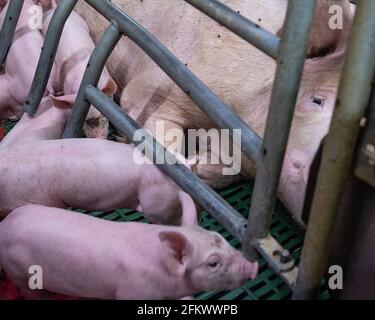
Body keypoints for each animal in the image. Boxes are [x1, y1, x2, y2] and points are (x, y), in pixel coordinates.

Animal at [0, 205, 258, 300]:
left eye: (223, 240)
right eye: (213, 263)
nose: (254, 266)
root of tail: (5, 225)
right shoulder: (131, 292)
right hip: (20, 272)